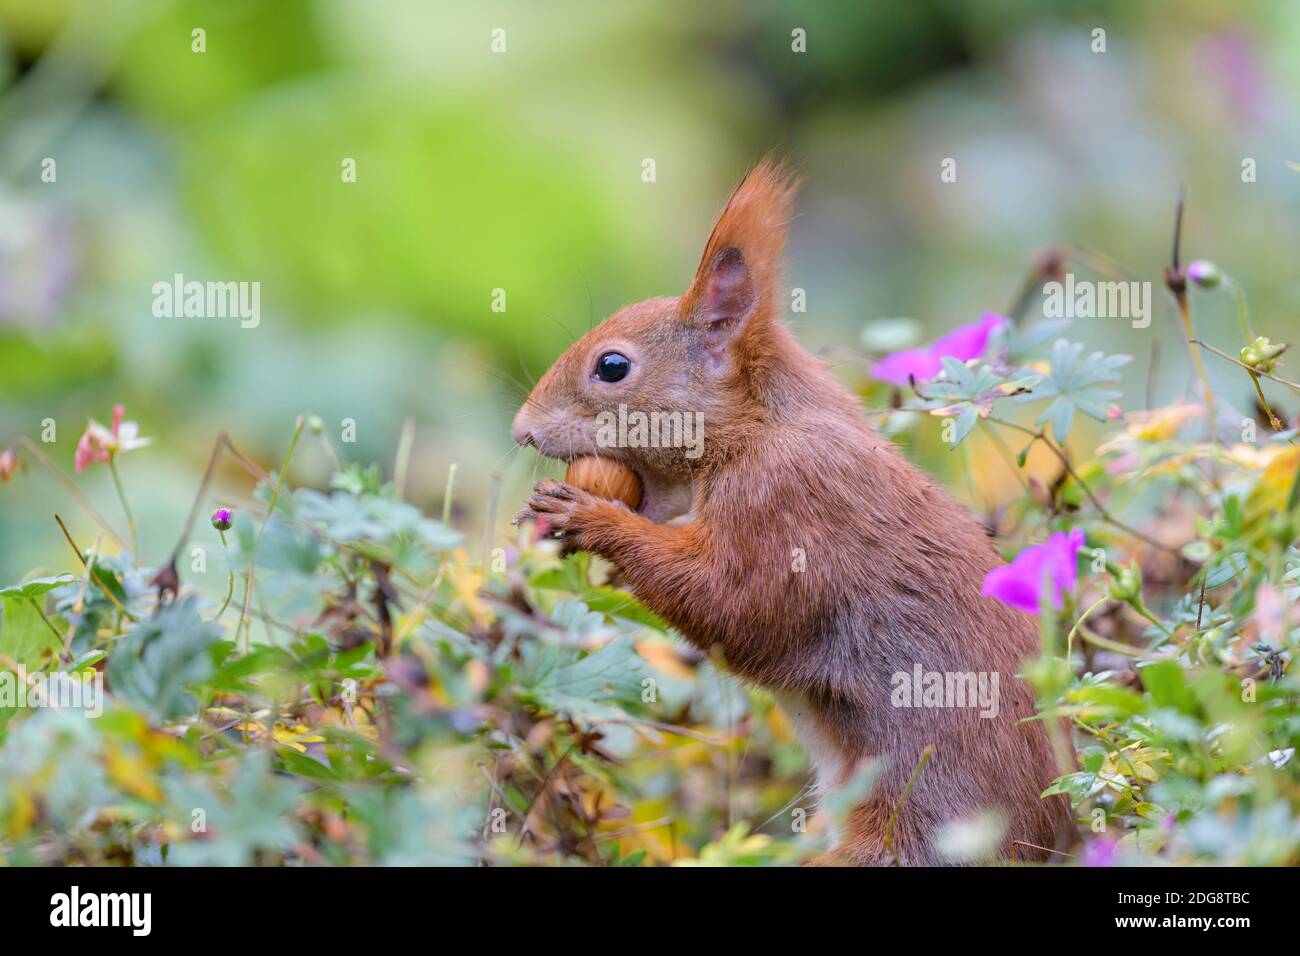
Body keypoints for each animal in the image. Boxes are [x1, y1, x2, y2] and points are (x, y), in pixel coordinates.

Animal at [511, 159, 1073, 865]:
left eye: (612, 366)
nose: (521, 429)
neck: (762, 426)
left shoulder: (789, 504)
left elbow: (736, 604)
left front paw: (591, 518)